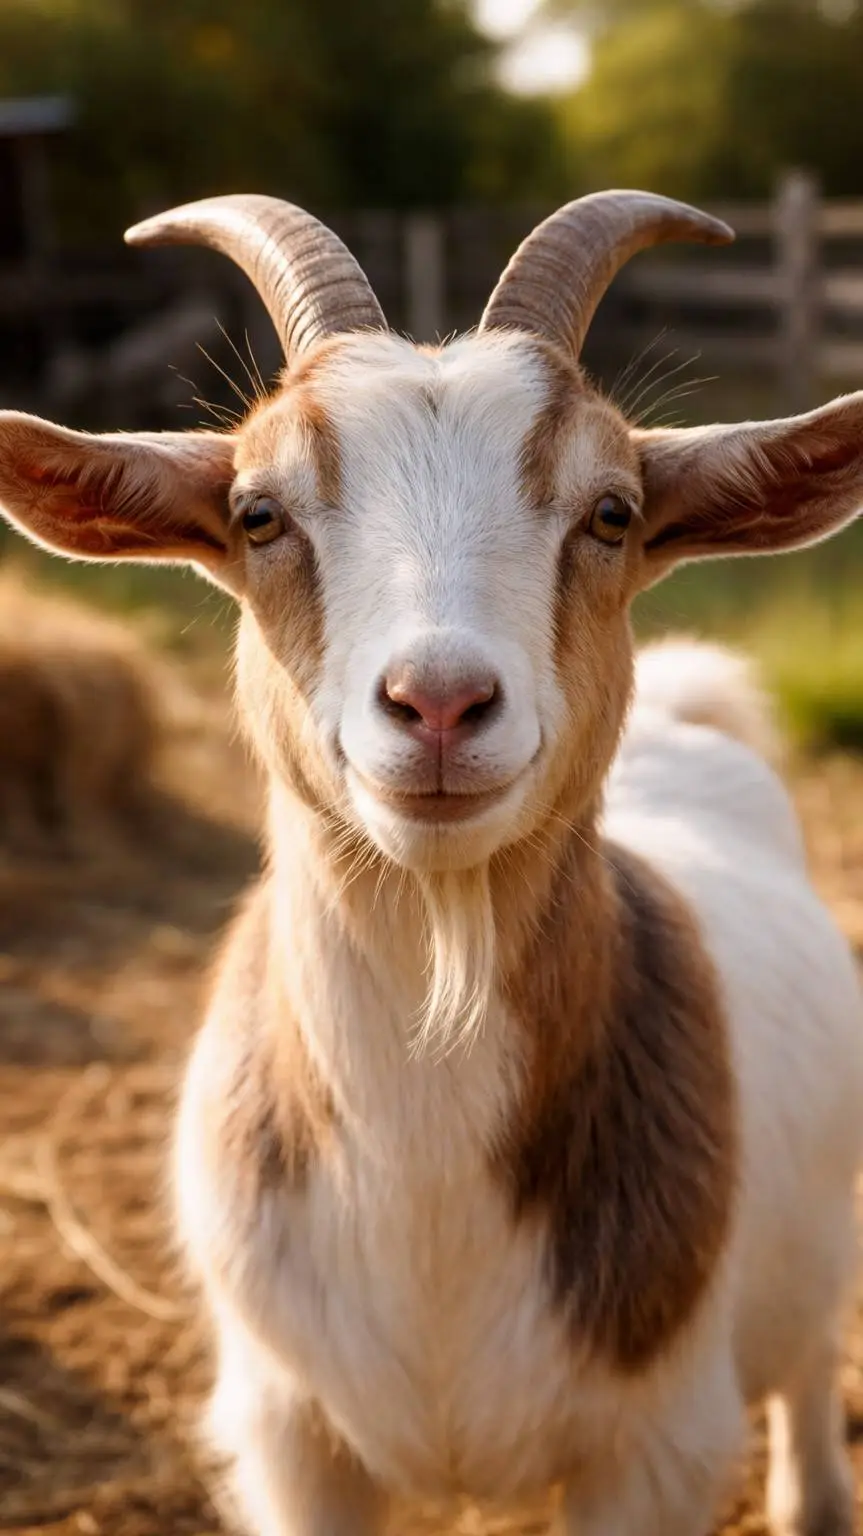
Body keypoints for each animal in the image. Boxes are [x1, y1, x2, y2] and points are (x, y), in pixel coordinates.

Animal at [0, 190, 861, 1536]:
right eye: (258, 513)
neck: (424, 1189)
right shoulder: (290, 1437)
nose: (440, 703)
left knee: (813, 1361)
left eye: (610, 512)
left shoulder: (652, 1444)